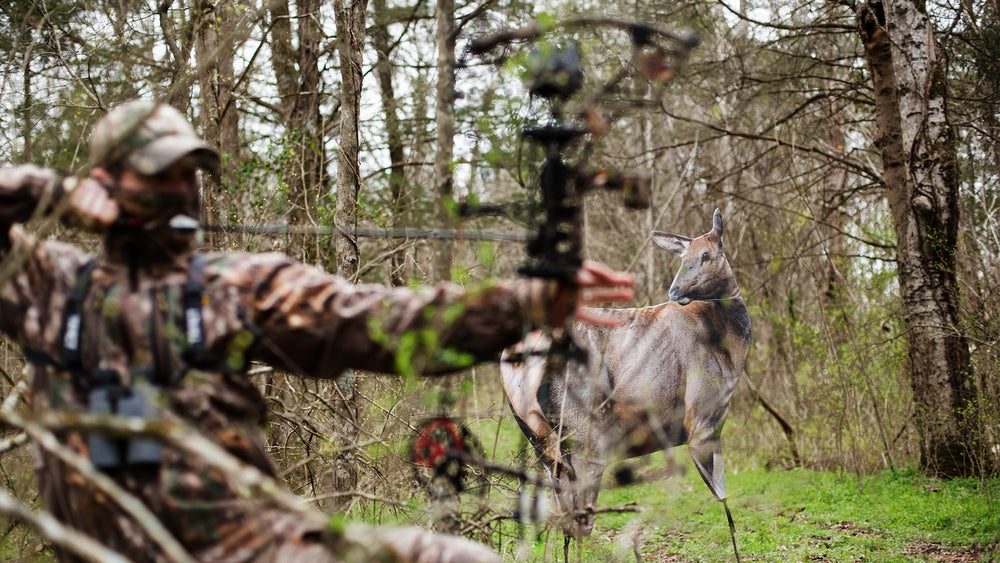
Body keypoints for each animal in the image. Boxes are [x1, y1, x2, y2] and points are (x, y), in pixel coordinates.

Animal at [501, 209, 751, 548]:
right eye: (685, 256)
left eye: (706, 255)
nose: (674, 291)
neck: (730, 346)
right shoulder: (702, 416)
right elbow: (724, 501)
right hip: (585, 435)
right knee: (578, 519)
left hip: (539, 439)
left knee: (560, 516)